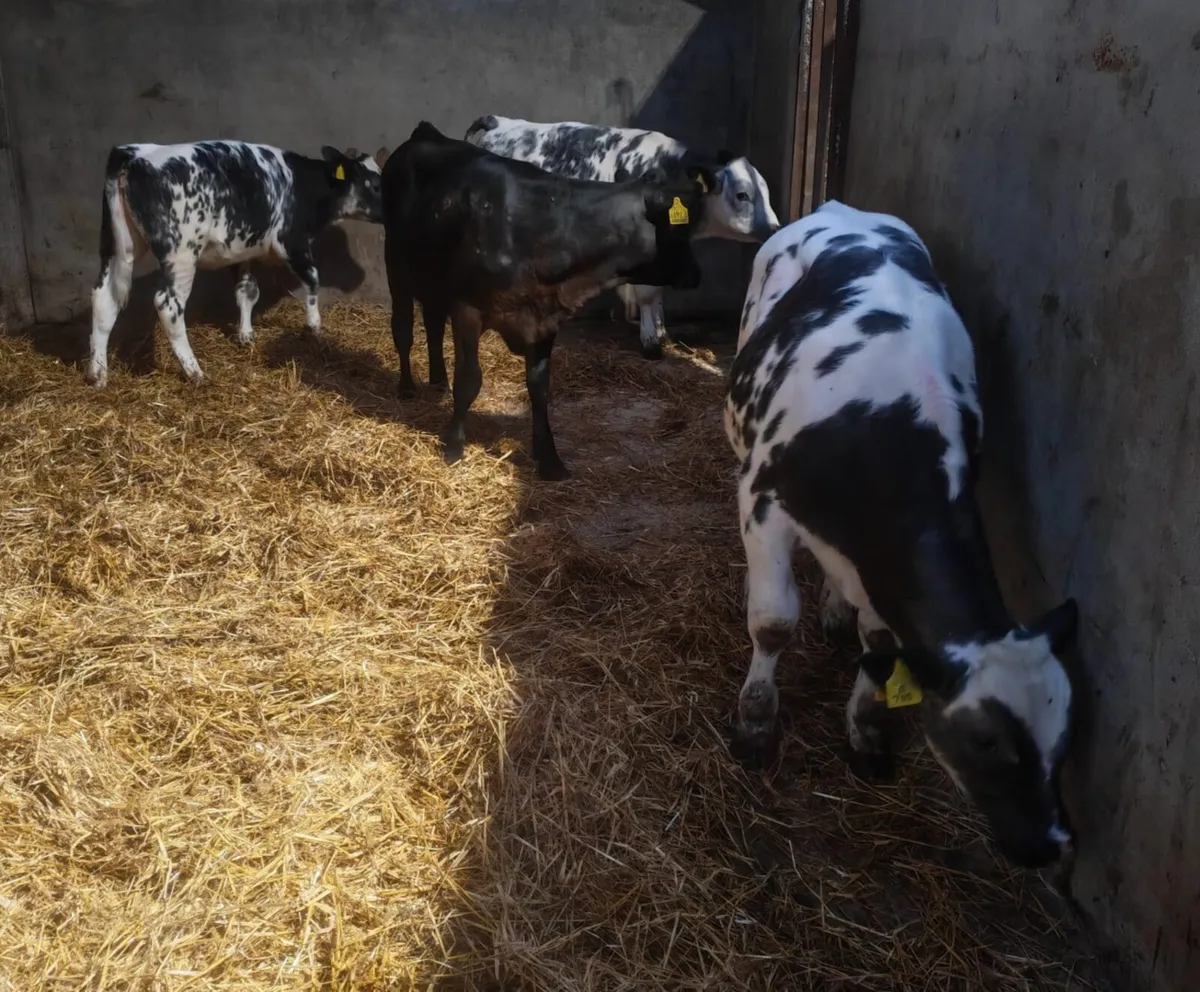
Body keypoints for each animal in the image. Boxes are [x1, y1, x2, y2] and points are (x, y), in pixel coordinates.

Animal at [87, 140, 386, 387]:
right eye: (375, 184)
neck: (303, 185)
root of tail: (134, 154)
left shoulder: (243, 251)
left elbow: (247, 291)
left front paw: (245, 335)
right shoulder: (292, 241)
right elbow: (313, 279)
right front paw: (314, 327)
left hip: (115, 245)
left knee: (104, 298)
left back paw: (98, 373)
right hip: (181, 254)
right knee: (167, 304)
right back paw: (194, 371)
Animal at [381, 121, 715, 481]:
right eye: (680, 227)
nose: (696, 274)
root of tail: (427, 133)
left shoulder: (545, 318)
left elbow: (539, 388)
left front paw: (549, 459)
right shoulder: (467, 308)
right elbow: (469, 380)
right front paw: (454, 446)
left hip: (433, 278)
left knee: (432, 323)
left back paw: (438, 381)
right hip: (396, 266)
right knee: (403, 328)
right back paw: (407, 387)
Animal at [465, 114, 780, 359]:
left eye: (765, 190)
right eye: (742, 195)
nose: (775, 228)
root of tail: (500, 122)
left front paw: (661, 332)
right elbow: (646, 293)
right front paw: (651, 343)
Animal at [724, 199, 1080, 870]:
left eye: (1064, 735)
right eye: (983, 739)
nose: (1050, 845)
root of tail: (839, 207)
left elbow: (882, 643)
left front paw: (865, 730)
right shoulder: (762, 500)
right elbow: (773, 622)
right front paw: (755, 724)